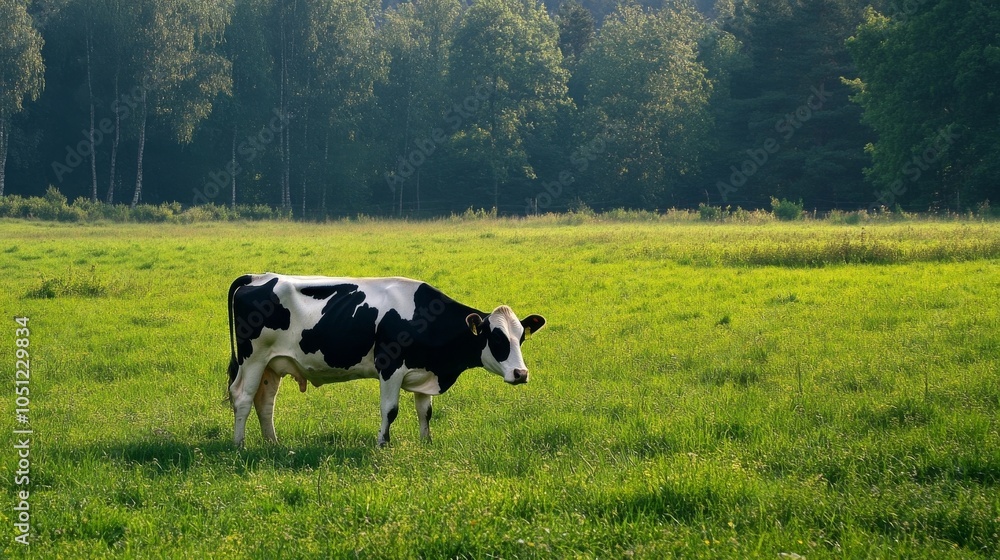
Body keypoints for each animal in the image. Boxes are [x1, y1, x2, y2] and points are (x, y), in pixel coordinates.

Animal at [226, 273, 546, 447]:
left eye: (521, 337)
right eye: (497, 339)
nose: (521, 373)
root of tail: (258, 277)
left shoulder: (423, 371)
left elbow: (425, 412)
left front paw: (426, 442)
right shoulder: (390, 367)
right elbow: (390, 410)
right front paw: (382, 443)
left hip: (272, 364)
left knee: (265, 402)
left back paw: (272, 443)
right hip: (253, 358)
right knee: (242, 397)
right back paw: (240, 444)